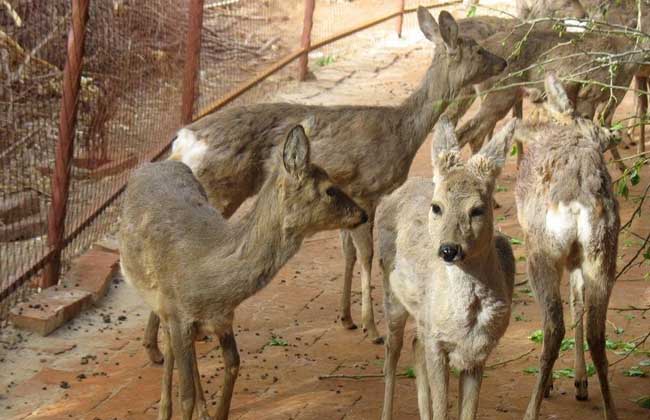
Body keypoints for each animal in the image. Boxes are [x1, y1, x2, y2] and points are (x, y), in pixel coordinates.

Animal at [118, 125, 368, 420]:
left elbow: (233, 364)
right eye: (330, 190)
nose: (363, 214)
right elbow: (186, 395)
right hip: (156, 298)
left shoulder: (222, 318)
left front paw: (215, 413)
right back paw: (166, 407)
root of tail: (153, 164)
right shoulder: (178, 313)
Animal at [140, 5, 506, 360]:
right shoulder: (366, 189)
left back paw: (158, 346)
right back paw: (163, 344)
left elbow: (347, 253)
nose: (503, 61)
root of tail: (181, 140)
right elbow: (366, 254)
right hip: (219, 189)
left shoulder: (351, 198)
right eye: (477, 48)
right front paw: (371, 328)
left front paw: (346, 317)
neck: (402, 132)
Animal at [374, 115, 516, 420]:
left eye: (478, 209)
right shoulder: (438, 343)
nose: (449, 249)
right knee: (393, 351)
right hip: (391, 290)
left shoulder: (479, 352)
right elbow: (442, 409)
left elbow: (467, 412)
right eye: (437, 207)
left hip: (422, 318)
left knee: (414, 344)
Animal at [512, 74, 616, 420]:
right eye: (587, 117)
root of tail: (577, 201)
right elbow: (577, 301)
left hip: (540, 253)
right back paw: (609, 409)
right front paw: (580, 383)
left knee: (553, 326)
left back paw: (533, 405)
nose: (611, 133)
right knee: (597, 331)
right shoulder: (576, 260)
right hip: (602, 252)